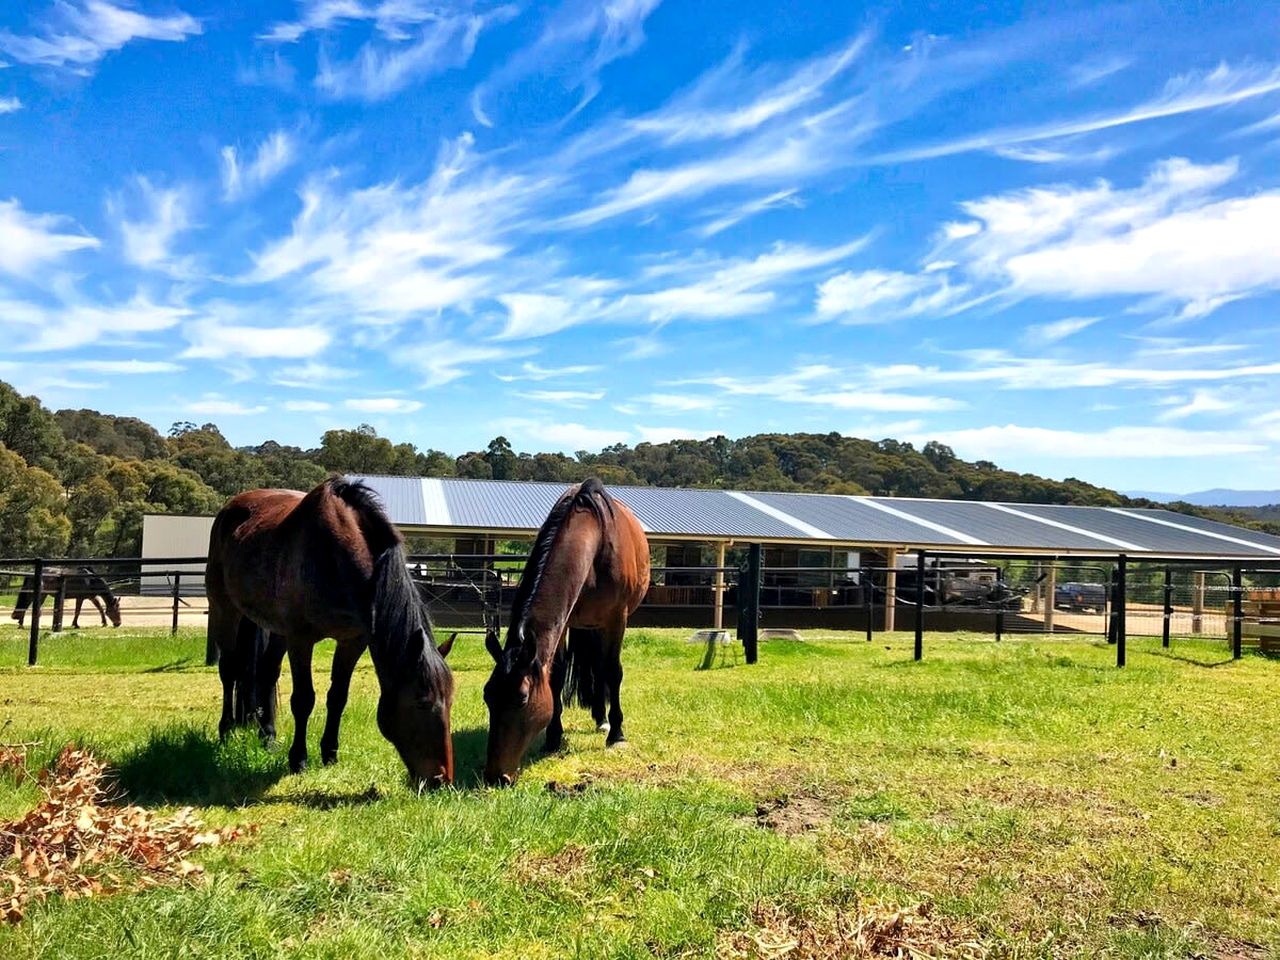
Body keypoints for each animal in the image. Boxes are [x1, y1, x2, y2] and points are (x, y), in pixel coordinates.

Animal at [205, 477, 456, 788]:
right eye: (422, 702)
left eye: (451, 701)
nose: (442, 779)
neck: (336, 557)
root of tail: (232, 507)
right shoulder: (301, 639)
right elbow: (303, 699)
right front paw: (298, 759)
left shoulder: (353, 641)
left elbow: (338, 697)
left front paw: (329, 754)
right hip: (224, 609)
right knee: (229, 671)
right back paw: (226, 730)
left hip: (275, 629)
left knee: (265, 673)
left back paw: (269, 737)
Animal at [482, 478, 650, 786]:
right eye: (488, 696)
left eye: (522, 699)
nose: (496, 776)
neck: (595, 544)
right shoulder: (565, 622)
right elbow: (556, 676)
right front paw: (553, 737)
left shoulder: (616, 619)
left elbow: (613, 672)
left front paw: (617, 734)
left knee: (603, 667)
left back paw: (605, 722)